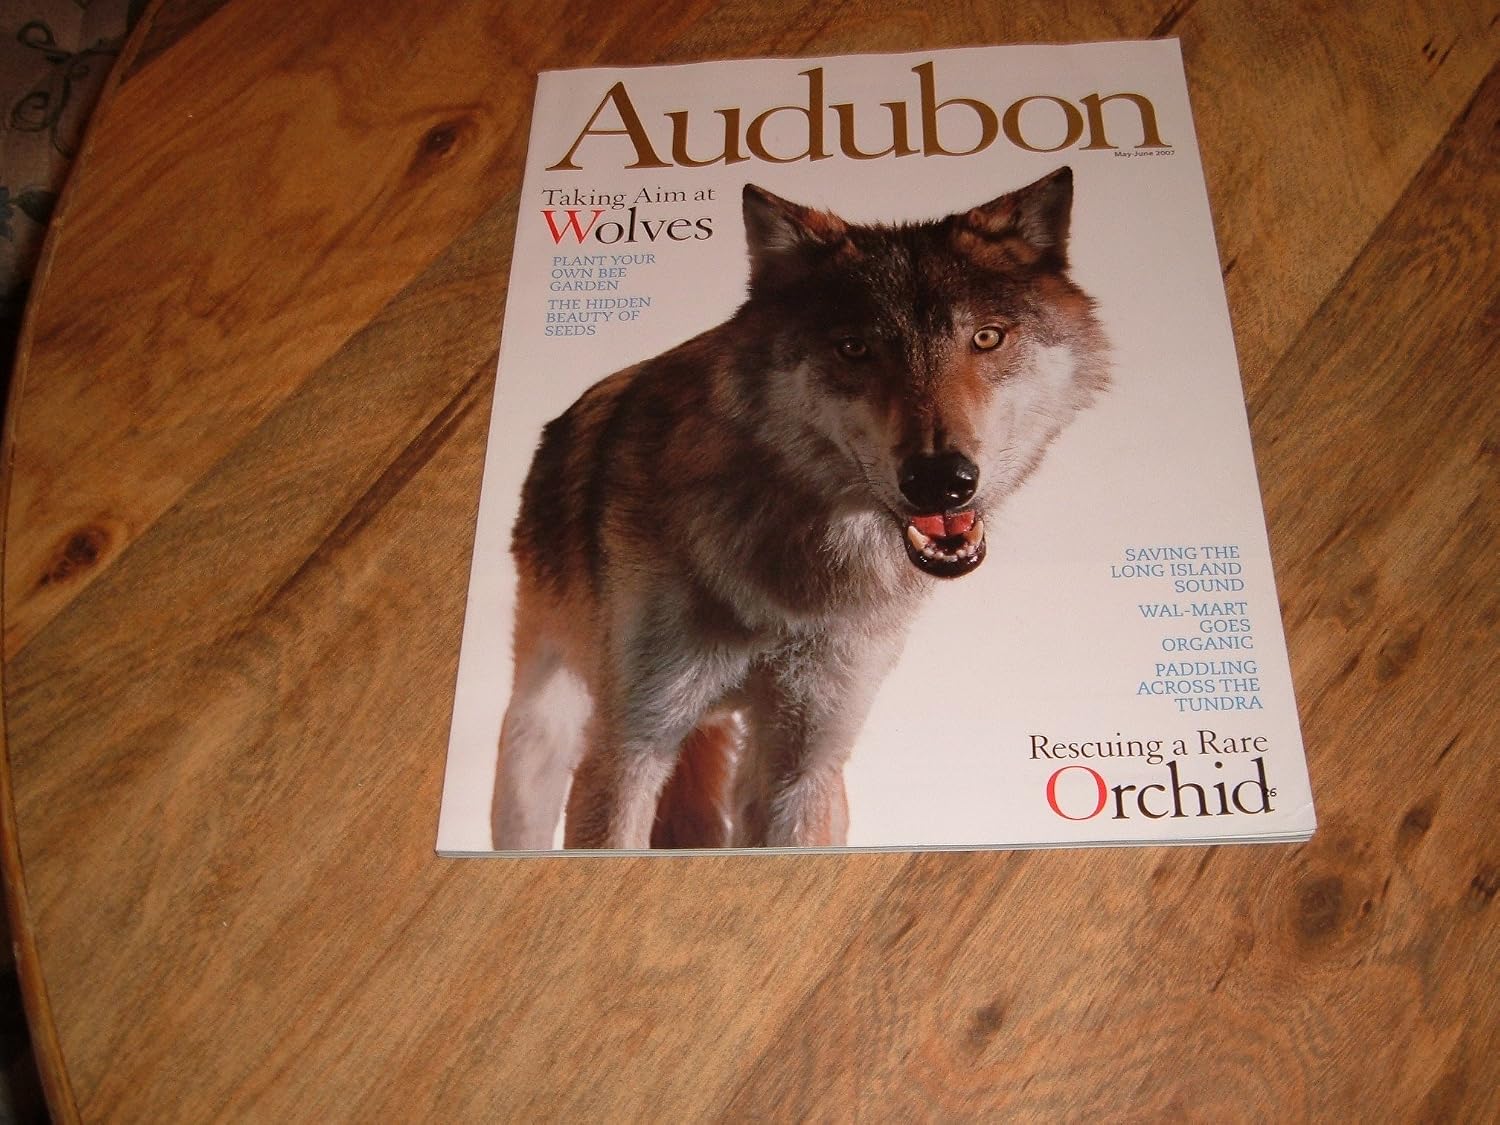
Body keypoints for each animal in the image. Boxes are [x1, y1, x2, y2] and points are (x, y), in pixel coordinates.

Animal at [492, 166, 1108, 850]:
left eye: (986, 338)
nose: (940, 480)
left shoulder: (806, 762)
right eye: (854, 348)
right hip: (546, 737)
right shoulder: (630, 746)